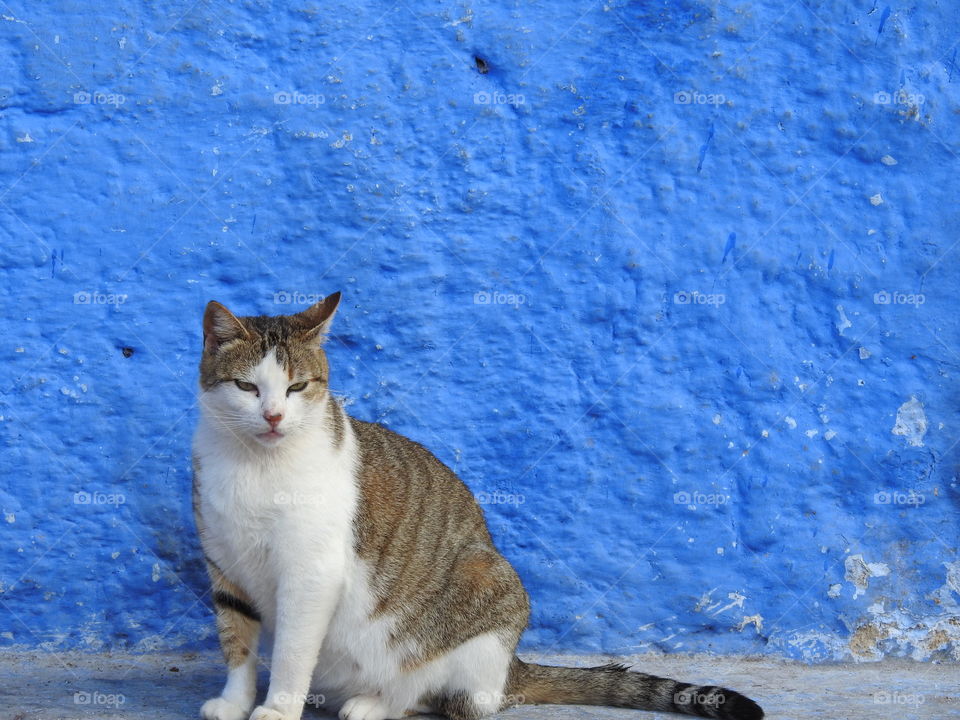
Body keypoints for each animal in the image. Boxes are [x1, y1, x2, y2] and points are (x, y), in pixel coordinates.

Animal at [193, 292, 764, 720]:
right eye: (247, 386)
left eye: (297, 386)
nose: (272, 416)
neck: (256, 465)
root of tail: (512, 665)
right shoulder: (225, 566)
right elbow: (236, 640)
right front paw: (235, 701)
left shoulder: (310, 573)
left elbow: (292, 651)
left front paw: (277, 708)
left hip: (482, 586)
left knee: (451, 700)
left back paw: (377, 702)